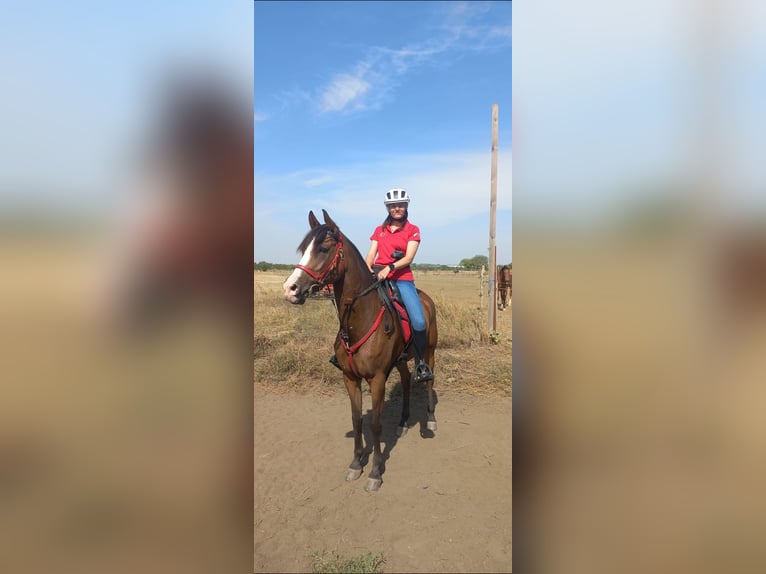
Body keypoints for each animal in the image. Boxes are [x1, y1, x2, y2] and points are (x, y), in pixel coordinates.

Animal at [282, 209, 438, 492]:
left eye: (323, 248)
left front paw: (375, 472)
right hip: (401, 360)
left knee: (429, 379)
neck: (360, 320)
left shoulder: (377, 379)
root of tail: (425, 298)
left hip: (430, 351)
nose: (290, 289)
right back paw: (402, 423)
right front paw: (356, 464)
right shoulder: (350, 378)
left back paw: (430, 420)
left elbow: (375, 424)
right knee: (406, 382)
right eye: (302, 249)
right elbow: (357, 420)